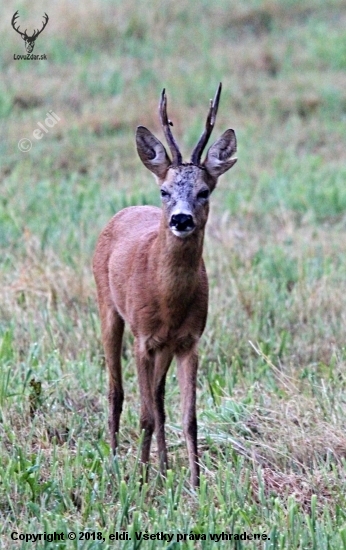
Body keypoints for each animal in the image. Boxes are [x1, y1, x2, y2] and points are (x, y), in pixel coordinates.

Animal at [92, 84, 238, 490]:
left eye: (205, 191)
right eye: (165, 190)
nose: (181, 219)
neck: (168, 300)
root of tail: (125, 211)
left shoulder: (189, 341)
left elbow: (188, 417)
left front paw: (194, 483)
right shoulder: (142, 338)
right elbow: (143, 414)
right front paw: (140, 482)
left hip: (166, 346)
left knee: (157, 397)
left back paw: (162, 467)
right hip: (107, 308)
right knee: (116, 391)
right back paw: (115, 461)